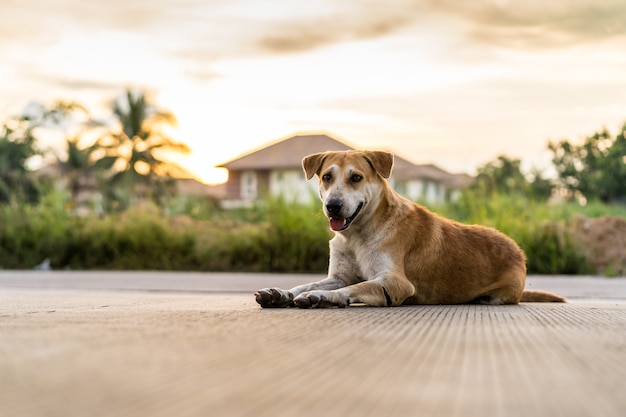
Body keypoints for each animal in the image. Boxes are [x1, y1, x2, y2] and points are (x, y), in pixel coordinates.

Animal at [254, 148, 564, 308]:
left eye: (356, 177)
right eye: (327, 177)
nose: (333, 205)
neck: (358, 234)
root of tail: (517, 250)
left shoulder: (396, 283)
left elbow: (357, 286)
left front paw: (324, 297)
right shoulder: (340, 275)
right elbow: (308, 283)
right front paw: (282, 293)